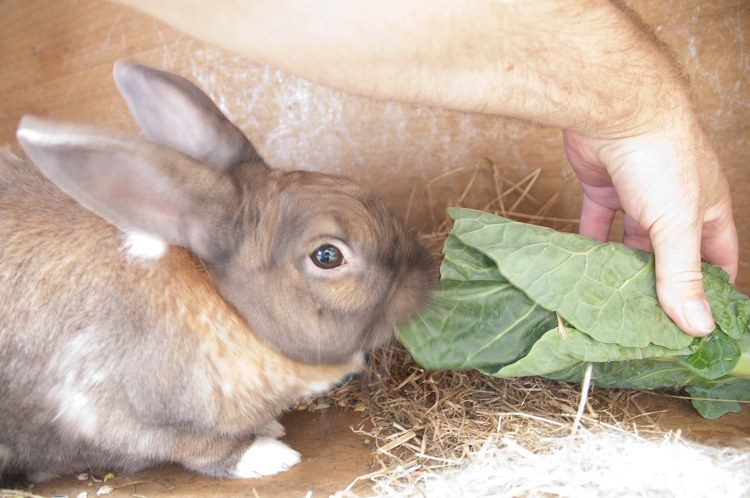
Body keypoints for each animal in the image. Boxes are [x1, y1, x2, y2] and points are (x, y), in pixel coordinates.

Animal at [0, 60, 434, 480]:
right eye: (327, 256)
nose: (428, 277)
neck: (229, 308)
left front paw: (269, 427)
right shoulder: (124, 416)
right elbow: (202, 449)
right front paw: (271, 455)